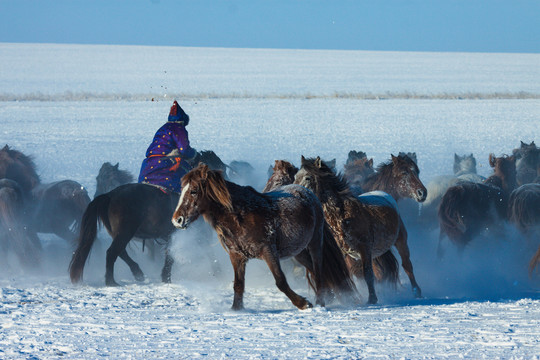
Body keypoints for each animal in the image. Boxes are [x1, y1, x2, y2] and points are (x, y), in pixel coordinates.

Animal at [172, 163, 358, 310]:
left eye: (194, 191)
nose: (177, 220)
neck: (240, 216)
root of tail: (309, 193)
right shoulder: (236, 256)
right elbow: (238, 285)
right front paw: (236, 310)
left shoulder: (268, 251)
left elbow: (280, 281)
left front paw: (303, 303)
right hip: (299, 252)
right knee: (313, 270)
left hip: (314, 243)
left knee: (318, 271)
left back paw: (320, 303)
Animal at [296, 156, 422, 302]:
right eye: (295, 176)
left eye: (308, 178)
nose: (421, 193)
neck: (343, 216)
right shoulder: (346, 255)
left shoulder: (365, 249)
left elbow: (368, 274)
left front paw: (372, 299)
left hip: (400, 241)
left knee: (407, 265)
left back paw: (417, 292)